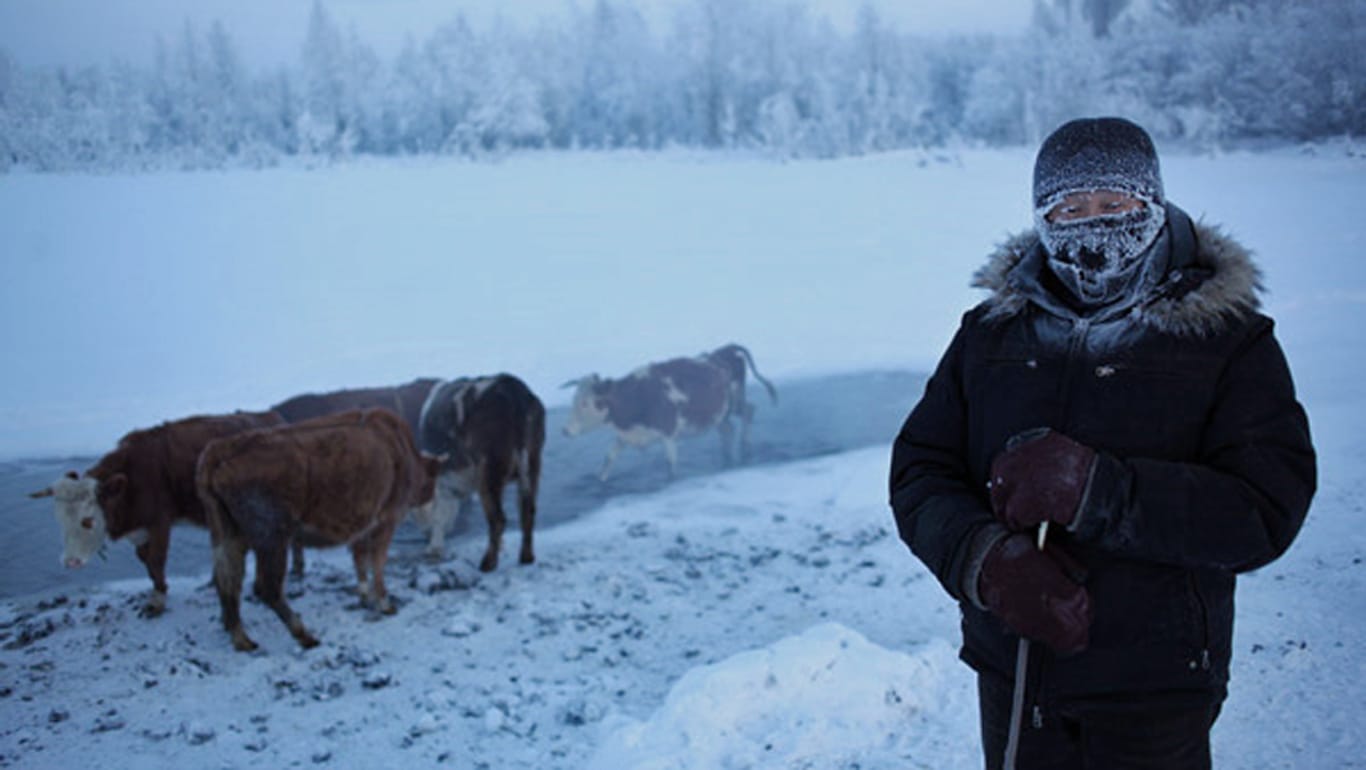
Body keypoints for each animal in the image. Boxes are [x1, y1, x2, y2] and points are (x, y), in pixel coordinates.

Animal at [27, 412, 285, 617]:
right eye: (60, 520)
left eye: (88, 520)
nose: (70, 562)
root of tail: (269, 416)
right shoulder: (140, 529)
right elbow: (145, 560)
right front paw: (157, 589)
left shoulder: (159, 522)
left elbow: (156, 560)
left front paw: (158, 600)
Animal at [195, 406, 439, 652]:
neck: (400, 447)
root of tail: (219, 450)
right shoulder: (385, 521)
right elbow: (377, 564)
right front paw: (384, 603)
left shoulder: (361, 529)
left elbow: (360, 561)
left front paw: (363, 597)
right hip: (272, 539)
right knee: (267, 588)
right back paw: (304, 635)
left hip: (228, 536)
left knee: (227, 581)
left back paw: (241, 638)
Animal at [412, 374, 546, 570]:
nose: (424, 534)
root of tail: (512, 388)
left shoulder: (444, 481)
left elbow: (440, 514)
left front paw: (434, 548)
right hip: (532, 464)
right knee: (528, 511)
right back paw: (526, 557)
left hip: (490, 470)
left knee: (498, 519)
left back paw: (488, 562)